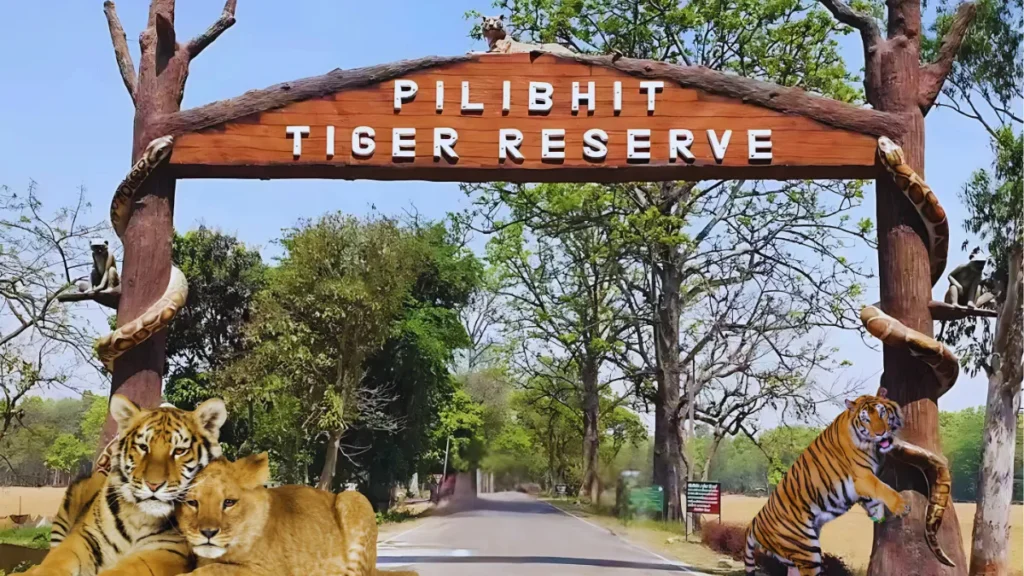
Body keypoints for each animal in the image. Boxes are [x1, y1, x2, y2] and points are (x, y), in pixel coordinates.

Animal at [20, 395, 227, 576]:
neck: (139, 517)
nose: (153, 485)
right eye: (143, 447)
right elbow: (56, 560)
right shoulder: (86, 536)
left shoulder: (168, 552)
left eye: (179, 451)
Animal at [742, 387, 909, 576]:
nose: (881, 434)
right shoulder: (863, 476)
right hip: (808, 551)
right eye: (866, 419)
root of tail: (754, 523)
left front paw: (878, 515)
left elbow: (873, 497)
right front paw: (900, 506)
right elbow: (883, 488)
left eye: (882, 413)